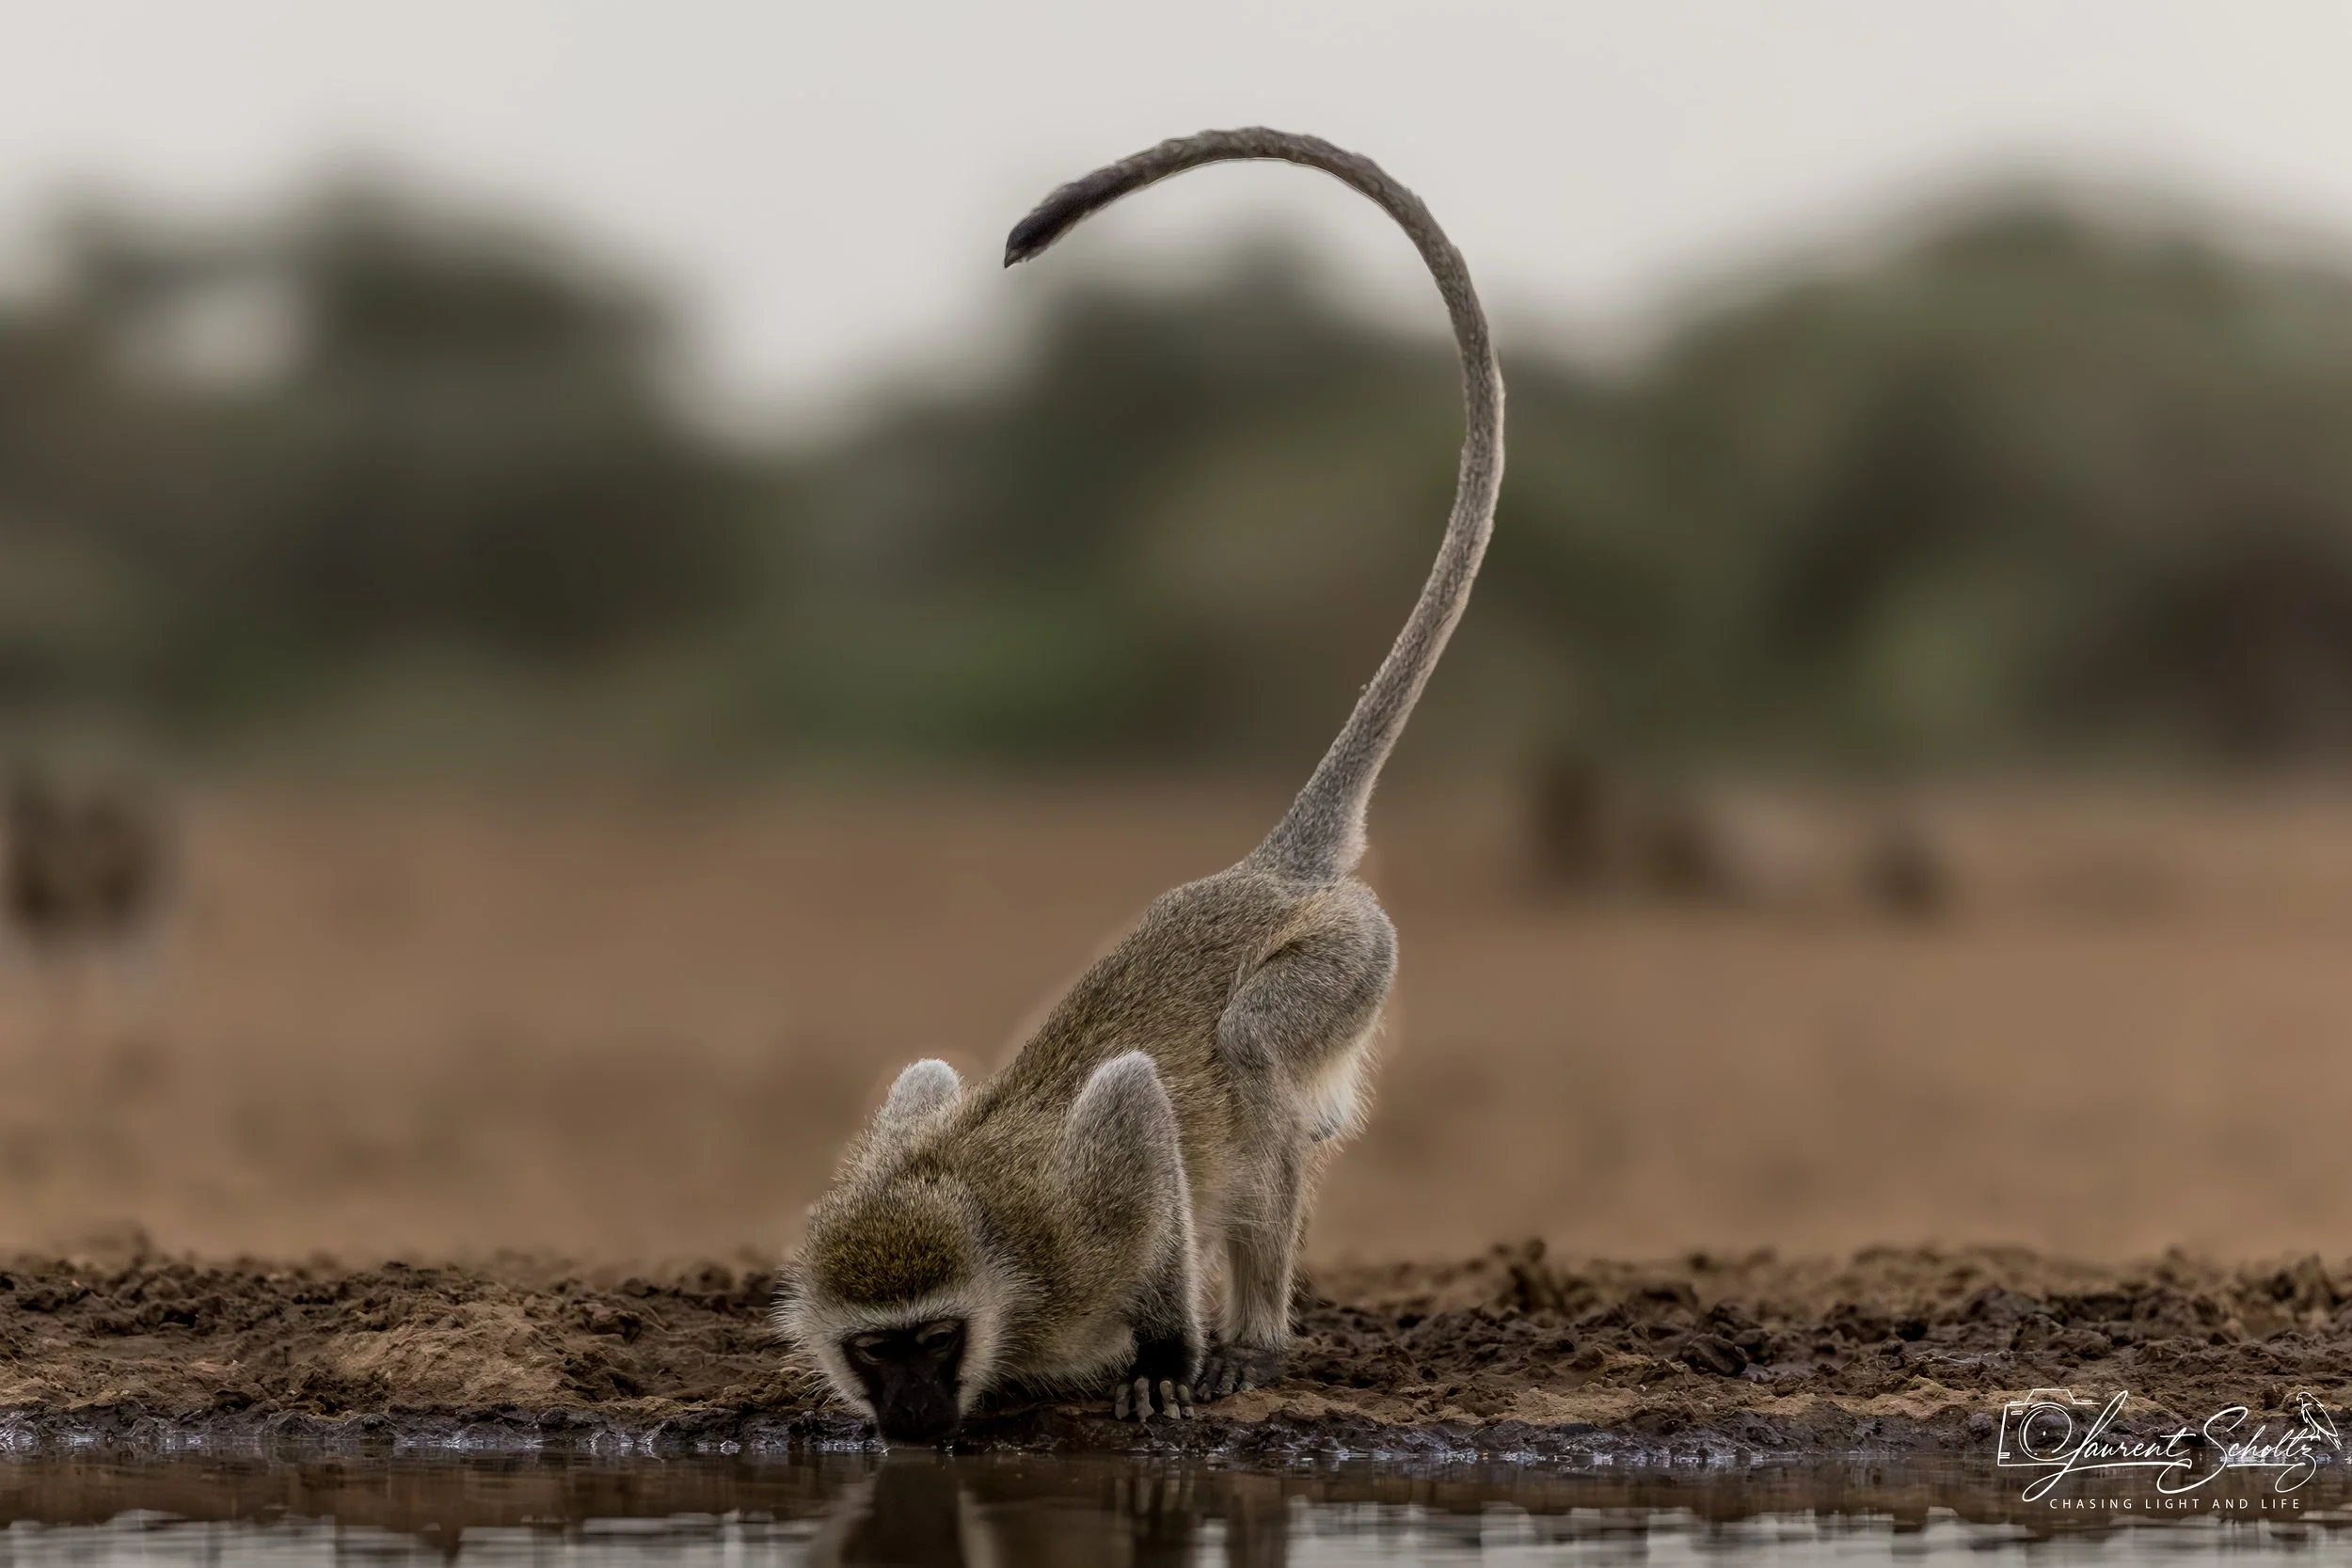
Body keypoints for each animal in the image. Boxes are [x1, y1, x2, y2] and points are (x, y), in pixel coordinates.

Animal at [777, 128, 1502, 1444]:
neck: (999, 1264)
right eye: (875, 1350)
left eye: (932, 1339)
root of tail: (1269, 870)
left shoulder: (1090, 1206)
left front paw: (1166, 1352)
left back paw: (1251, 1336)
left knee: (1255, 1058)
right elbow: (927, 1076)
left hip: (1347, 952)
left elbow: (1133, 1103)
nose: (911, 1414)